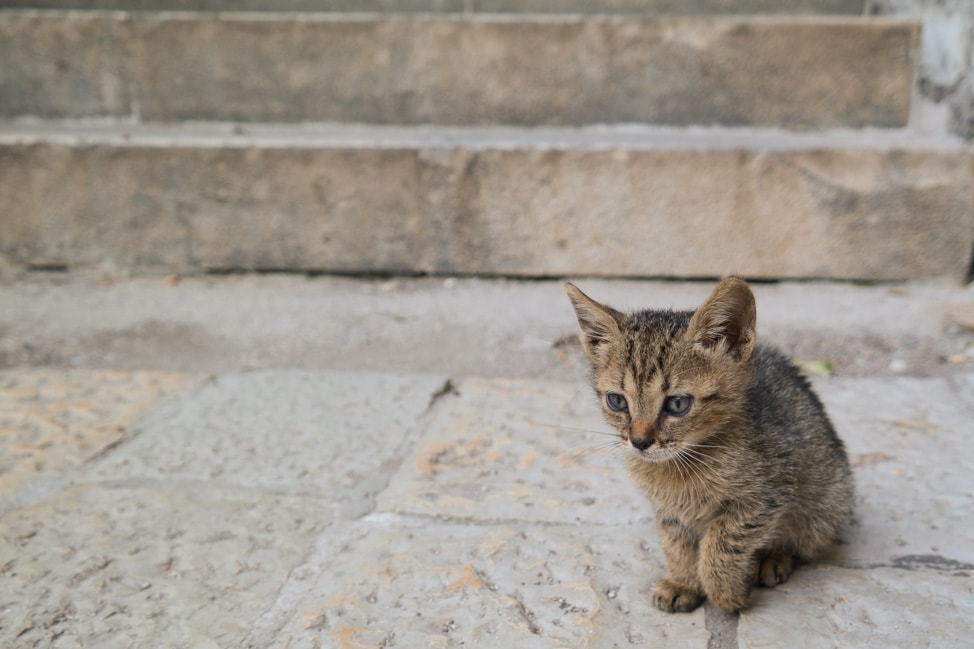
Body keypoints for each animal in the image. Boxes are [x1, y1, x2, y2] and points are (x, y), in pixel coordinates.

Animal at [564, 278, 856, 612]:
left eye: (677, 404)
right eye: (617, 401)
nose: (639, 441)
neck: (681, 466)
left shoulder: (767, 497)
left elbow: (721, 542)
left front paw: (724, 592)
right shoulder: (668, 510)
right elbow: (675, 543)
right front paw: (683, 582)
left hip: (825, 504)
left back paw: (773, 559)